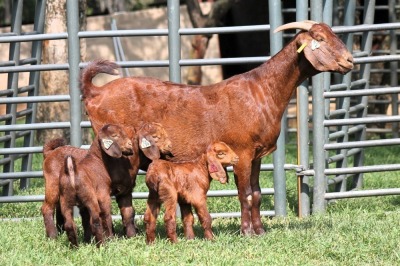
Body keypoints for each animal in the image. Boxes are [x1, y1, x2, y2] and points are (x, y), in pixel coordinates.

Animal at [80, 21, 354, 236]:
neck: (263, 90)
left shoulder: (256, 154)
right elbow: (244, 193)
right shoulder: (241, 152)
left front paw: (260, 230)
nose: (350, 60)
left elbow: (256, 193)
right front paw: (246, 232)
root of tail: (95, 92)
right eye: (319, 39)